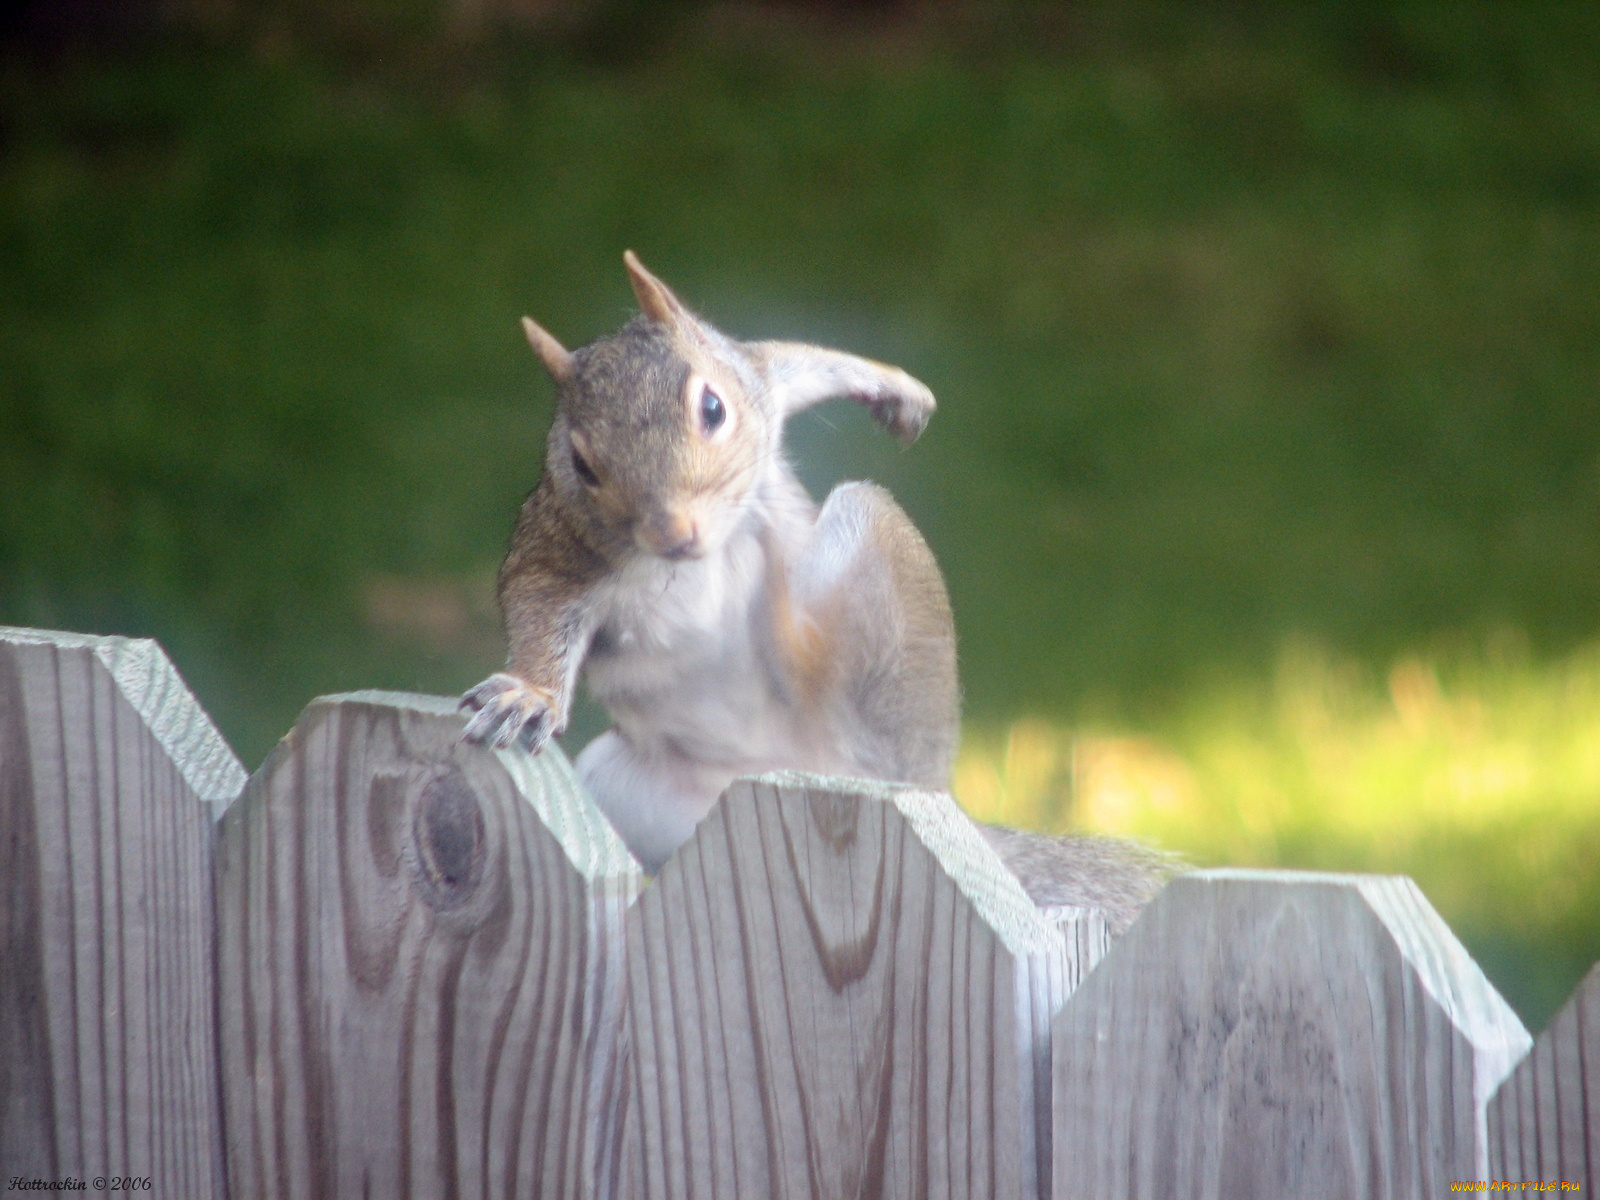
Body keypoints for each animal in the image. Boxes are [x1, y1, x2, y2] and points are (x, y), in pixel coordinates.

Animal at [457, 251, 1171, 928]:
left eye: (713, 408)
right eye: (581, 464)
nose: (672, 534)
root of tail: (811, 770)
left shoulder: (757, 383)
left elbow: (789, 362)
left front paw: (895, 388)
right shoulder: (556, 551)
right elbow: (538, 608)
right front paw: (530, 694)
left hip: (878, 599)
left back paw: (782, 609)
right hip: (619, 785)